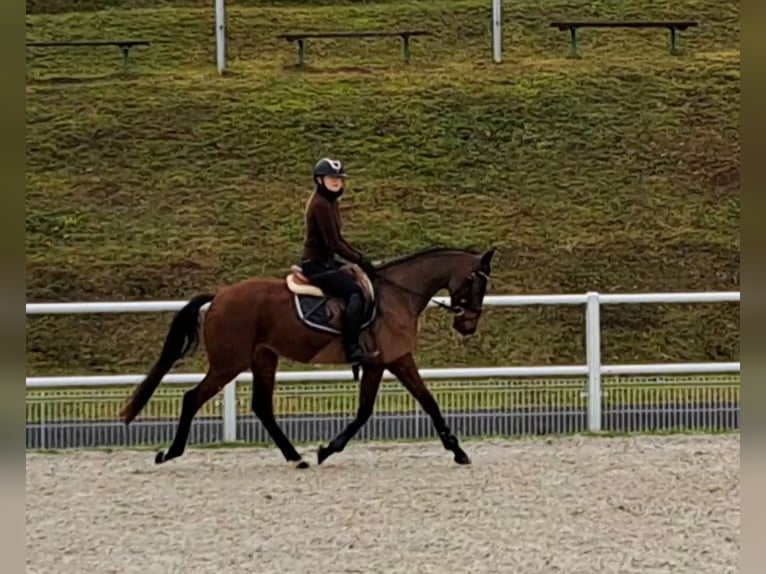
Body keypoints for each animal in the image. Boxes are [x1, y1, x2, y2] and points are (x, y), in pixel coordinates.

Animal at [119, 246, 498, 468]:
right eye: (477, 284)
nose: (467, 326)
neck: (398, 295)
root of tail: (221, 294)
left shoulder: (383, 362)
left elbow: (390, 407)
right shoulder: (393, 359)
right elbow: (413, 404)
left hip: (263, 358)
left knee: (262, 406)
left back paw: (294, 456)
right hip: (229, 364)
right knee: (192, 397)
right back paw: (170, 453)